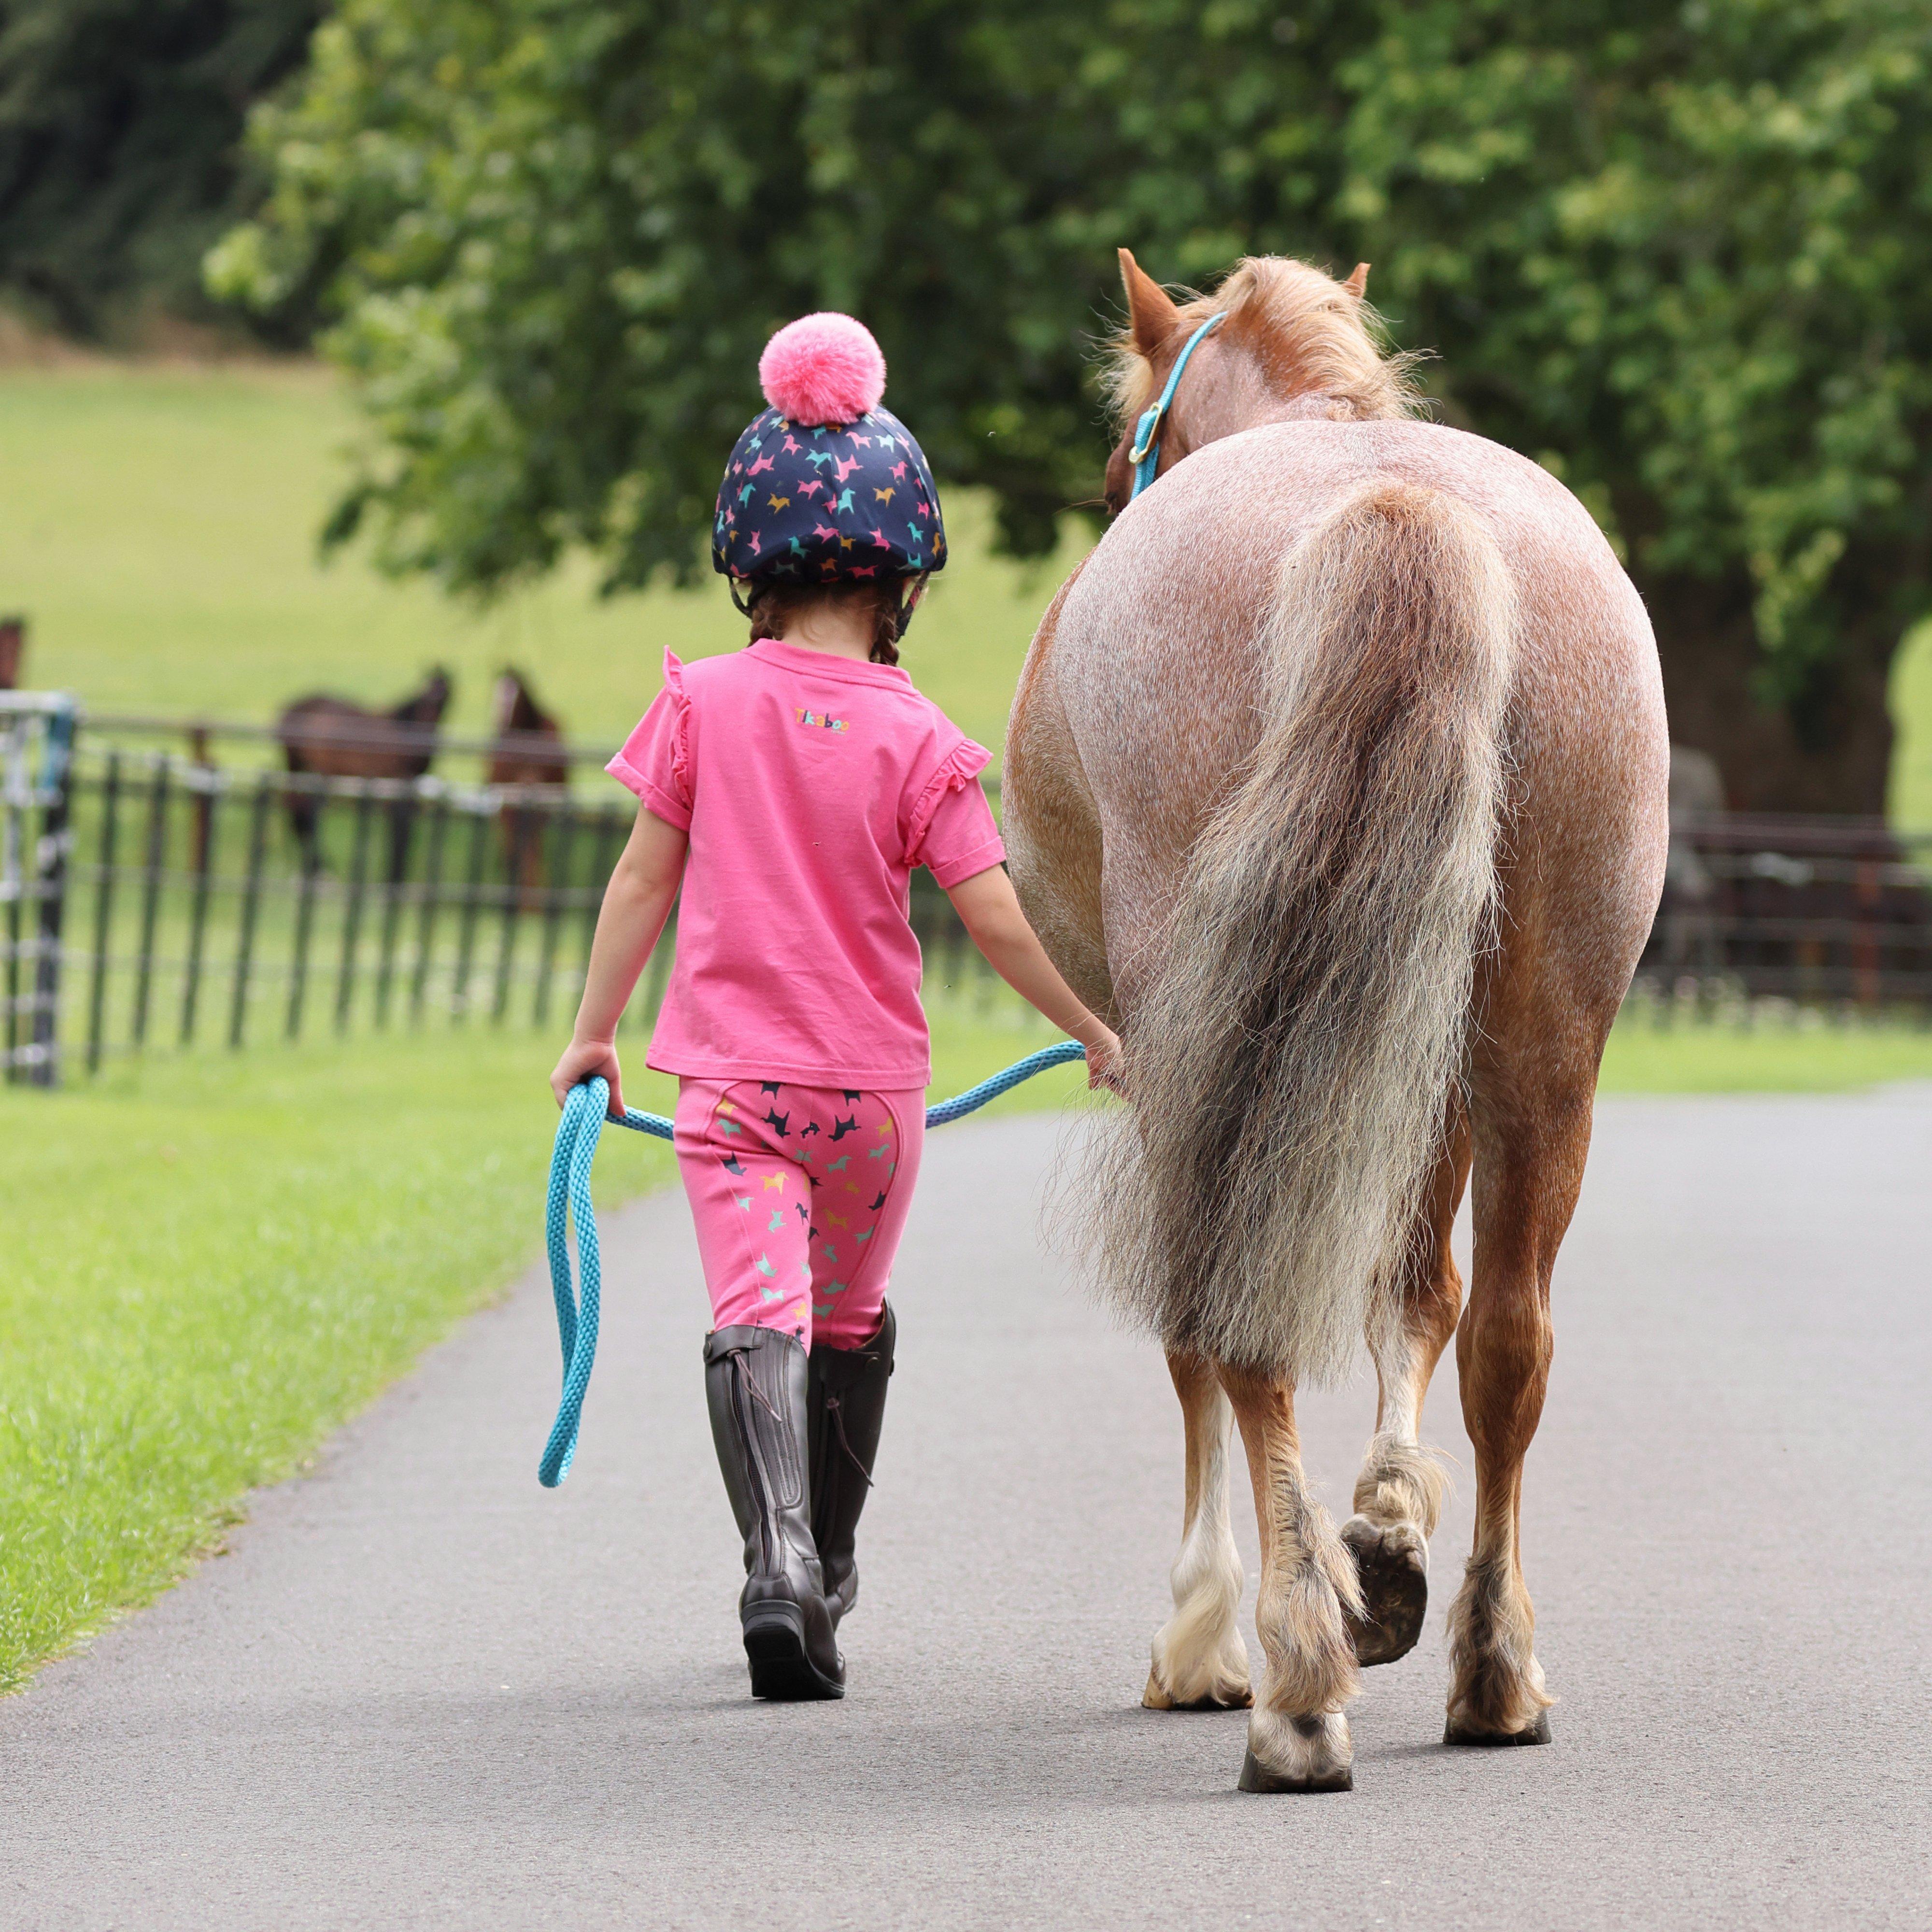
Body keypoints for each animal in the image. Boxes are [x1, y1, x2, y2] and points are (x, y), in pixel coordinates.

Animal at [275, 669, 452, 878]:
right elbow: (400, 827)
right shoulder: (400, 779)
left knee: (298, 810)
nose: (429, 717)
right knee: (307, 812)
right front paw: (394, 872)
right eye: (426, 690)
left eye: (446, 692)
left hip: (304, 769)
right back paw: (318, 865)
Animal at [1004, 251, 1669, 1792]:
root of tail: (1395, 506)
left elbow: (1197, 1338)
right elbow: (1419, 1298)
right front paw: (1389, 1528)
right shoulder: (1421, 1054)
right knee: (1512, 1341)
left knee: (1243, 1322)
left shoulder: (1165, 1061)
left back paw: (1294, 1686)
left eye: (1127, 452)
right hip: (1541, 1044)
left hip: (1226, 1033)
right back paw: (1491, 1671)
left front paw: (1207, 1632)